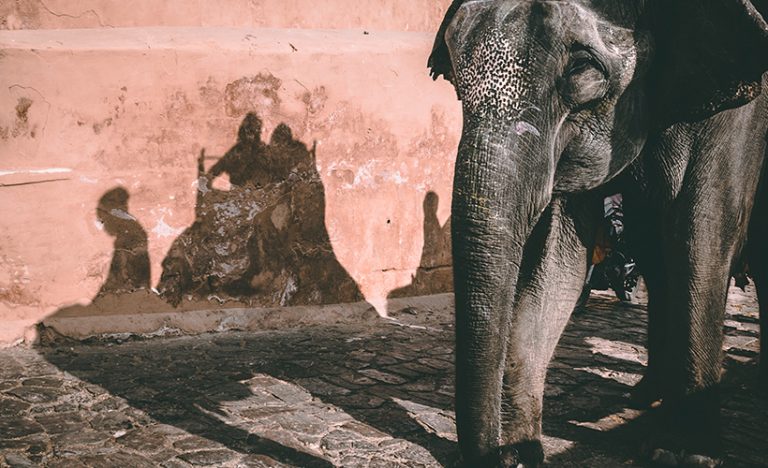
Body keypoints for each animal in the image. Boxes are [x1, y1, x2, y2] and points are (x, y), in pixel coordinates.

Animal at [429, 0, 768, 466]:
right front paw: (524, 449)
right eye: (456, 81)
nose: (499, 457)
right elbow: (559, 258)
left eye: (582, 68)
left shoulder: (741, 110)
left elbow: (701, 233)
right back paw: (646, 396)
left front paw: (683, 454)